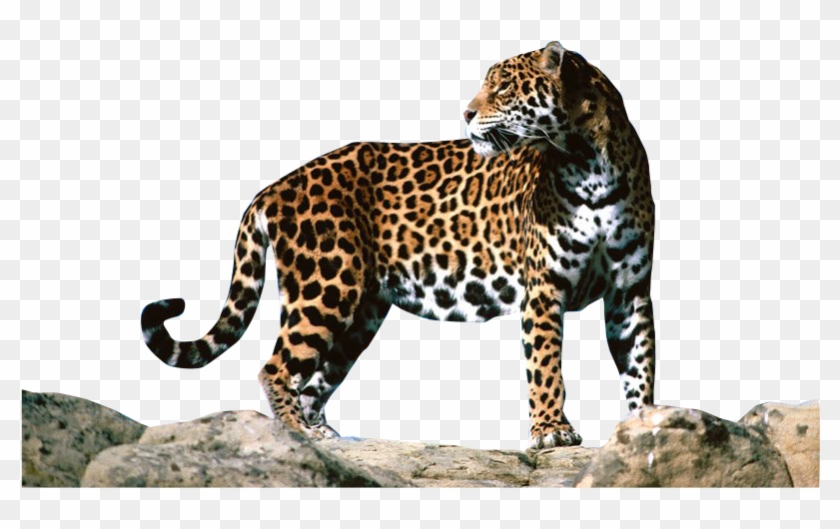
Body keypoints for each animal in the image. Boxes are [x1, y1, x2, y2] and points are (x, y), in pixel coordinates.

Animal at [141, 42, 657, 449]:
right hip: (325, 285)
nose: (467, 113)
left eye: (504, 87)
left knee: (315, 378)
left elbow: (640, 363)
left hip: (361, 312)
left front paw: (644, 427)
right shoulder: (545, 288)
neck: (588, 163)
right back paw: (295, 434)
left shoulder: (629, 292)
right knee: (276, 367)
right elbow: (546, 364)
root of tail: (274, 187)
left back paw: (324, 434)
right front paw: (552, 430)